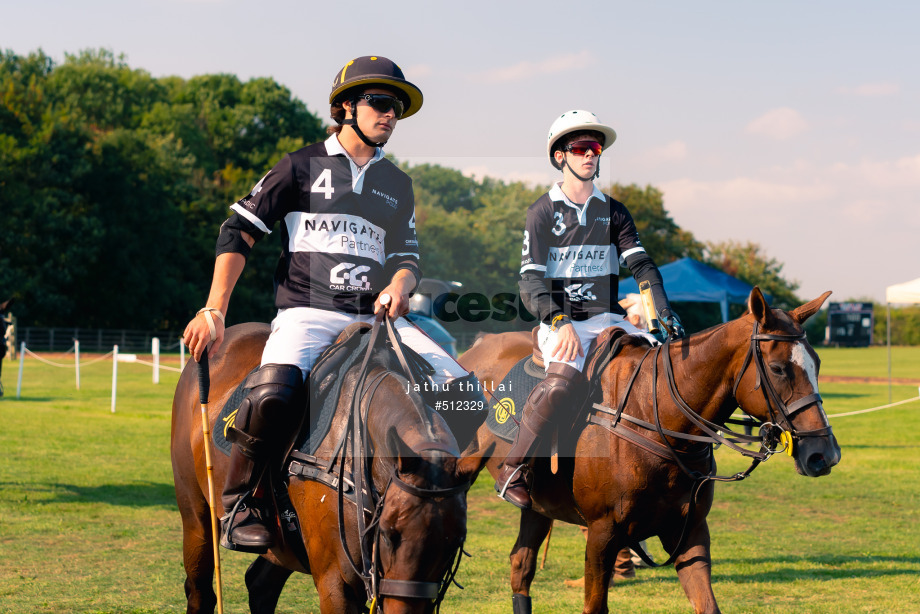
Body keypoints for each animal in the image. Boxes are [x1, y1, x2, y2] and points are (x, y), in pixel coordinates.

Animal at [173, 322, 474, 614]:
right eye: (387, 534)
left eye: (455, 543)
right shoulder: (336, 582)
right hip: (196, 513)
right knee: (200, 591)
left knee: (260, 585)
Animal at [456, 290, 844, 614]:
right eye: (778, 369)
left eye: (817, 363)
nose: (824, 455)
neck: (659, 422)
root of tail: (475, 348)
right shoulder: (602, 532)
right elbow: (595, 606)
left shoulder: (689, 531)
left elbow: (707, 604)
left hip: (538, 506)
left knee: (520, 567)